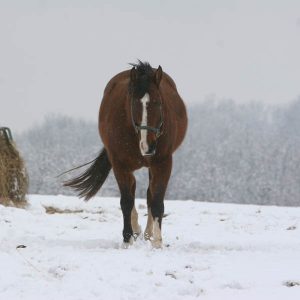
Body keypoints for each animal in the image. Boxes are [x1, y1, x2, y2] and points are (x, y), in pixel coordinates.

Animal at [65, 61, 188, 248]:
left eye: (159, 102)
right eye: (134, 103)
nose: (148, 146)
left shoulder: (163, 163)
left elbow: (157, 201)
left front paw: (156, 242)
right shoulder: (120, 165)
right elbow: (126, 201)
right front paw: (127, 239)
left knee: (149, 194)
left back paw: (148, 233)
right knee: (132, 190)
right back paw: (136, 229)